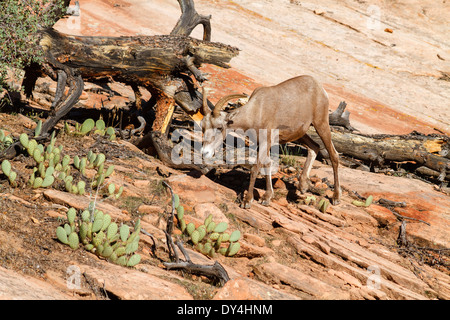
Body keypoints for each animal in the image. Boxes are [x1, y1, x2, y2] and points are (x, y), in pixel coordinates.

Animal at [200, 76, 342, 209]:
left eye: (220, 127)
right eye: (202, 126)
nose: (204, 152)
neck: (257, 110)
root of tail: (319, 87)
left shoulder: (265, 142)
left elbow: (255, 168)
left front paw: (247, 201)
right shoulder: (263, 144)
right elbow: (267, 164)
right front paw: (266, 198)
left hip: (321, 124)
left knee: (333, 155)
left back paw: (336, 198)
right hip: (301, 133)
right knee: (314, 147)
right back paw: (303, 187)